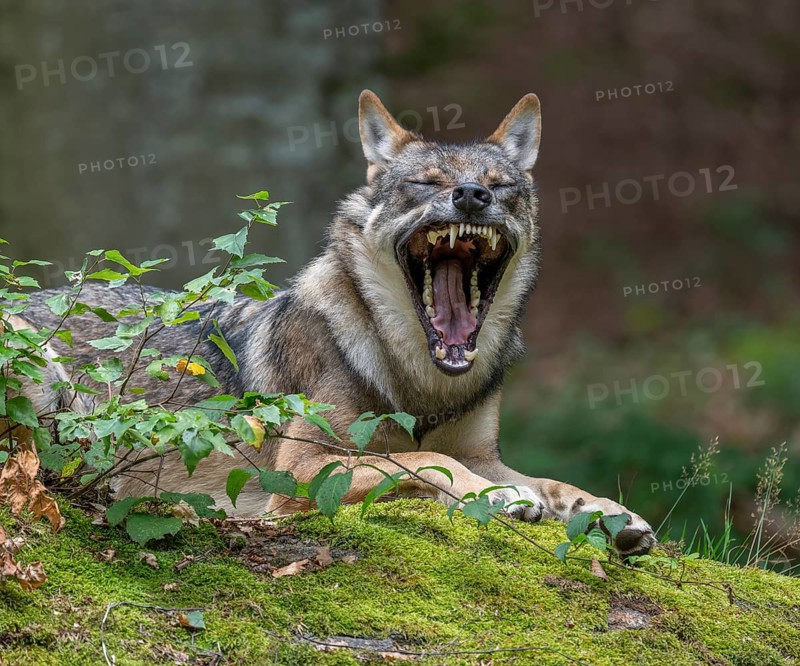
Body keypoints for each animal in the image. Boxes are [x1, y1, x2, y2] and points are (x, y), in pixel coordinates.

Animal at [12, 91, 655, 556]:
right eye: (426, 184)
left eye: (503, 189)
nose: (473, 196)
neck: (421, 381)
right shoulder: (305, 471)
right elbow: (423, 462)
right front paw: (499, 498)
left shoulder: (484, 451)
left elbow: (551, 481)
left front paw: (608, 512)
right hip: (51, 392)